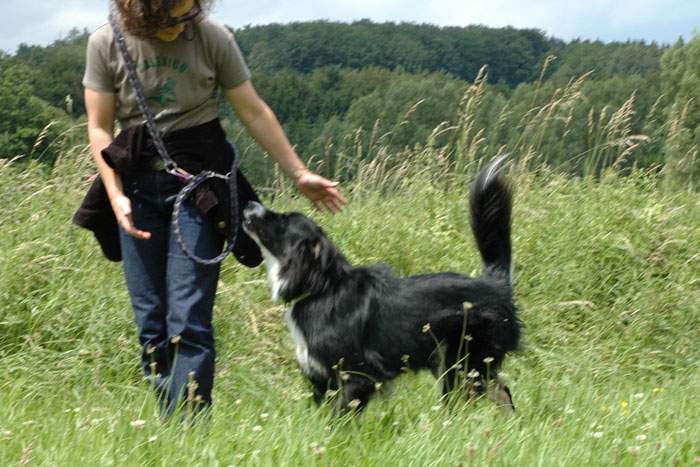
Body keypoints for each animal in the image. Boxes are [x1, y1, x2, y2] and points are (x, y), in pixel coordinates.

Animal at [242, 158, 520, 414]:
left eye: (282, 219)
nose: (248, 203)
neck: (320, 289)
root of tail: (495, 283)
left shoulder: (358, 376)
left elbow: (338, 418)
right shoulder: (322, 379)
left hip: (462, 362)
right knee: (503, 392)